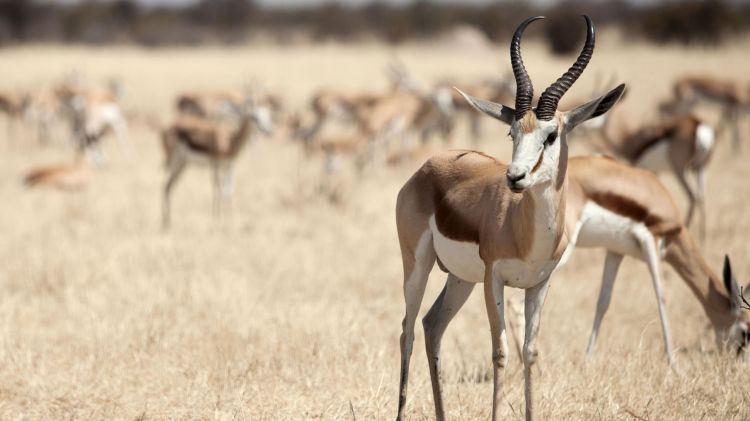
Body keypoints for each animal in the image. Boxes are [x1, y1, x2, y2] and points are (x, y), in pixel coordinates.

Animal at [163, 97, 274, 228]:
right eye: (254, 117)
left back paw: (167, 223)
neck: (230, 141)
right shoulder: (215, 165)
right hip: (176, 162)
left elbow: (228, 192)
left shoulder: (229, 166)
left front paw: (230, 223)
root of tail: (169, 128)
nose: (268, 131)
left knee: (168, 187)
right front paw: (216, 223)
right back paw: (166, 224)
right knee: (166, 187)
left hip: (183, 164)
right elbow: (218, 191)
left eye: (268, 116)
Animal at [396, 15, 624, 420]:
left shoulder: (539, 284)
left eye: (551, 135)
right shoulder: (494, 280)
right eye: (512, 131)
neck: (526, 232)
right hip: (418, 265)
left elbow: (530, 353)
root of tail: (429, 165)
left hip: (459, 278)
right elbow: (501, 352)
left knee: (432, 324)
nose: (515, 177)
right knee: (408, 328)